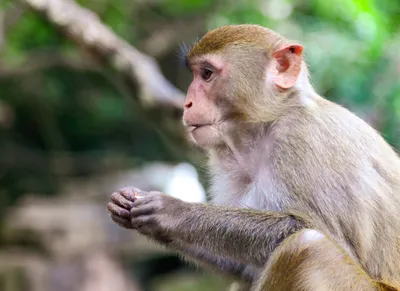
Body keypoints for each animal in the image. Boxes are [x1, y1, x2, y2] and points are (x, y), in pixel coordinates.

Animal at [107, 25, 400, 291]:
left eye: (207, 74)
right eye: (197, 74)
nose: (186, 104)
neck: (265, 126)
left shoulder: (304, 139)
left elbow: (321, 232)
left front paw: (173, 211)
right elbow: (241, 268)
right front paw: (127, 205)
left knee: (307, 245)